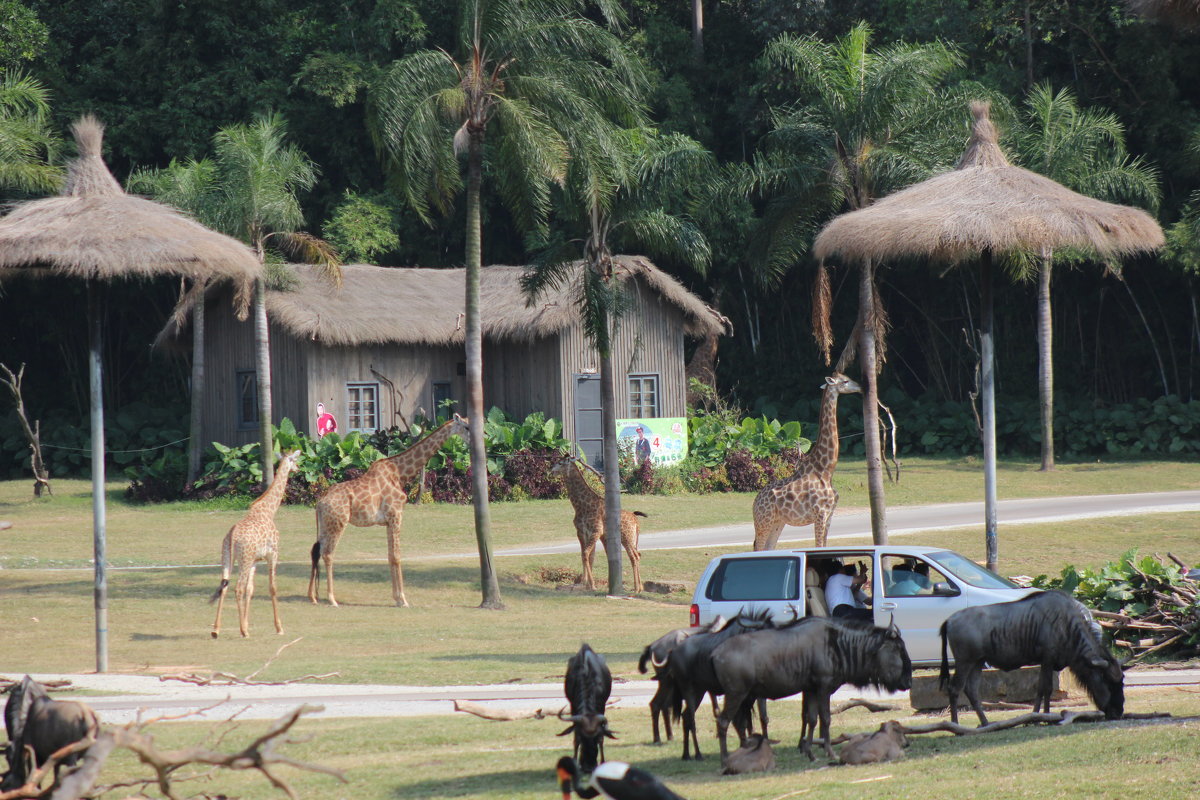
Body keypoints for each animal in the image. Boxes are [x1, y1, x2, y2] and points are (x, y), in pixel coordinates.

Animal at [210, 450, 298, 638]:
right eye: (295, 459)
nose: (297, 468)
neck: (268, 511)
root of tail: (233, 535)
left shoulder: (255, 561)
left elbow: (250, 589)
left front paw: (246, 623)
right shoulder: (273, 554)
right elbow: (272, 587)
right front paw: (278, 627)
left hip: (227, 557)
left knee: (225, 586)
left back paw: (216, 630)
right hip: (243, 559)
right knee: (237, 588)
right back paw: (243, 632)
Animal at [309, 412, 468, 606]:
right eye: (466, 427)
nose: (476, 438)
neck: (400, 474)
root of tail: (320, 502)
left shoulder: (387, 521)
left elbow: (389, 555)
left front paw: (396, 598)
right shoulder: (396, 515)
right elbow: (397, 556)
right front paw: (403, 600)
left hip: (326, 524)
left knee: (316, 552)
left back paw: (313, 596)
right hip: (338, 523)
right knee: (328, 554)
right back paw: (332, 599)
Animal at [549, 455, 648, 594]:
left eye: (560, 463)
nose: (551, 471)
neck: (581, 506)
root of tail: (635, 519)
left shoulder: (596, 531)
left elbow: (586, 554)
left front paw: (592, 585)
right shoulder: (581, 532)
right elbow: (587, 555)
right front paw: (585, 584)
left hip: (626, 536)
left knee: (634, 556)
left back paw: (637, 589)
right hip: (631, 538)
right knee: (637, 555)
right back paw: (638, 587)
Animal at [753, 374, 859, 551]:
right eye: (845, 381)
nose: (860, 387)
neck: (826, 470)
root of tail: (755, 502)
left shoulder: (830, 514)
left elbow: (825, 547)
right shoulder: (820, 513)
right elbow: (818, 546)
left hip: (777, 522)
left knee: (769, 547)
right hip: (764, 521)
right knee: (758, 548)